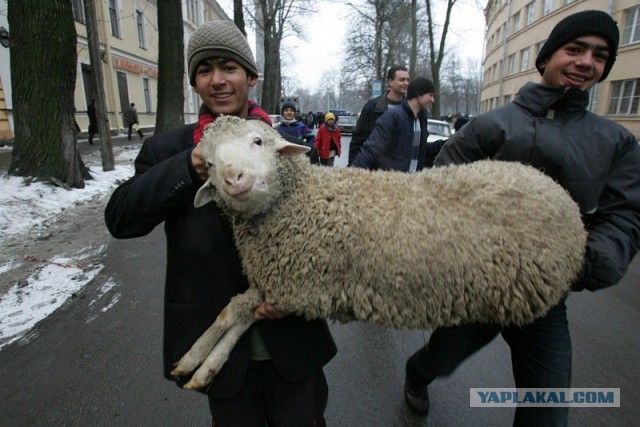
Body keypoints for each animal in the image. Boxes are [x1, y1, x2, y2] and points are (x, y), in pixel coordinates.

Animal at [169, 114, 584, 392]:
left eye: (258, 141)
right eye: (208, 162)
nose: (233, 178)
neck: (300, 202)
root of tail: (560, 192)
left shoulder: (299, 286)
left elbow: (233, 312)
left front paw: (195, 359)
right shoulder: (280, 283)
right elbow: (237, 315)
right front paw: (202, 366)